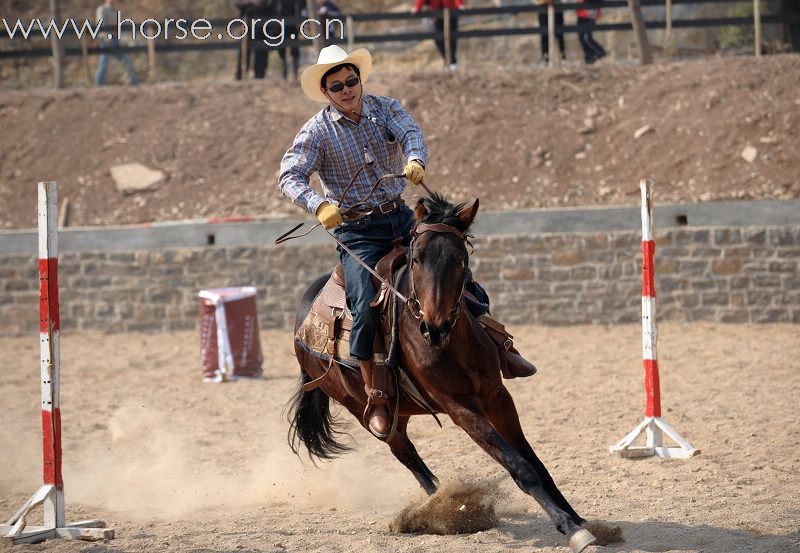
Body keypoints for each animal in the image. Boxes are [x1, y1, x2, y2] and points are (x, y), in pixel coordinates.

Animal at [288, 193, 600, 548]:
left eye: (461, 260)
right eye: (417, 259)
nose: (434, 327)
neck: (454, 346)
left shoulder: (498, 397)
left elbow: (536, 462)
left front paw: (579, 519)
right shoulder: (460, 408)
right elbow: (520, 467)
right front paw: (570, 528)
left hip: (402, 409)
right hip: (364, 411)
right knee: (406, 454)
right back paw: (444, 508)